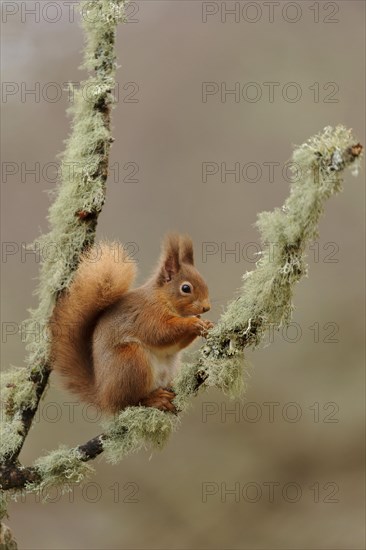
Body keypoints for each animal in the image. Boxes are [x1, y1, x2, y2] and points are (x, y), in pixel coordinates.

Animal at [50, 235, 213, 416]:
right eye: (185, 288)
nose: (206, 308)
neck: (161, 298)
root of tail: (103, 397)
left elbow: (175, 344)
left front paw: (206, 324)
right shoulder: (146, 316)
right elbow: (161, 333)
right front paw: (193, 322)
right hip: (131, 361)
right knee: (129, 402)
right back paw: (155, 400)